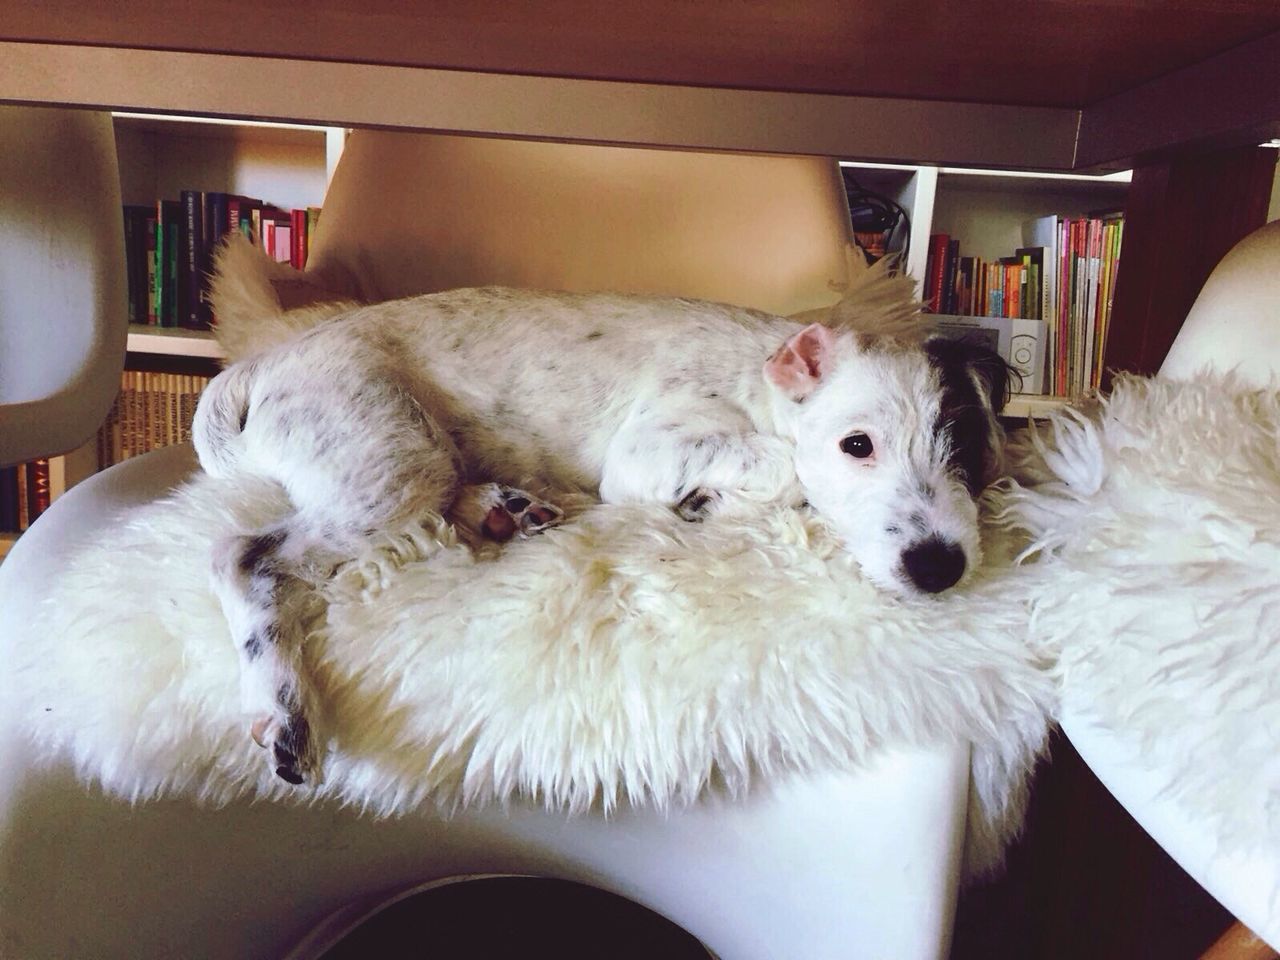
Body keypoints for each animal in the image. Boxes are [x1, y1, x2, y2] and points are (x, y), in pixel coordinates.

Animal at [192, 236, 1008, 783]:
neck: (765, 385)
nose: (939, 566)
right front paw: (714, 498)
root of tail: (263, 363)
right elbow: (779, 467)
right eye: (856, 445)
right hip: (391, 465)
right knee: (242, 556)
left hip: (415, 456)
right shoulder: (649, 452)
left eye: (967, 450)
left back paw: (502, 505)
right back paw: (282, 703)